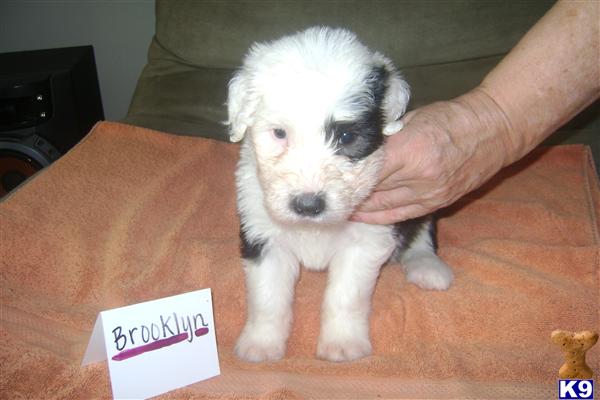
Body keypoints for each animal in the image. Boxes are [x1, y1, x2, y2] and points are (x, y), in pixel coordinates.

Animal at [227, 25, 452, 362]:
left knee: (423, 231)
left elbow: (345, 296)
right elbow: (267, 298)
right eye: (279, 133)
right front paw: (260, 345)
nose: (308, 205)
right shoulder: (262, 233)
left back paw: (428, 267)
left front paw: (342, 345)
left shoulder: (366, 239)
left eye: (346, 136)